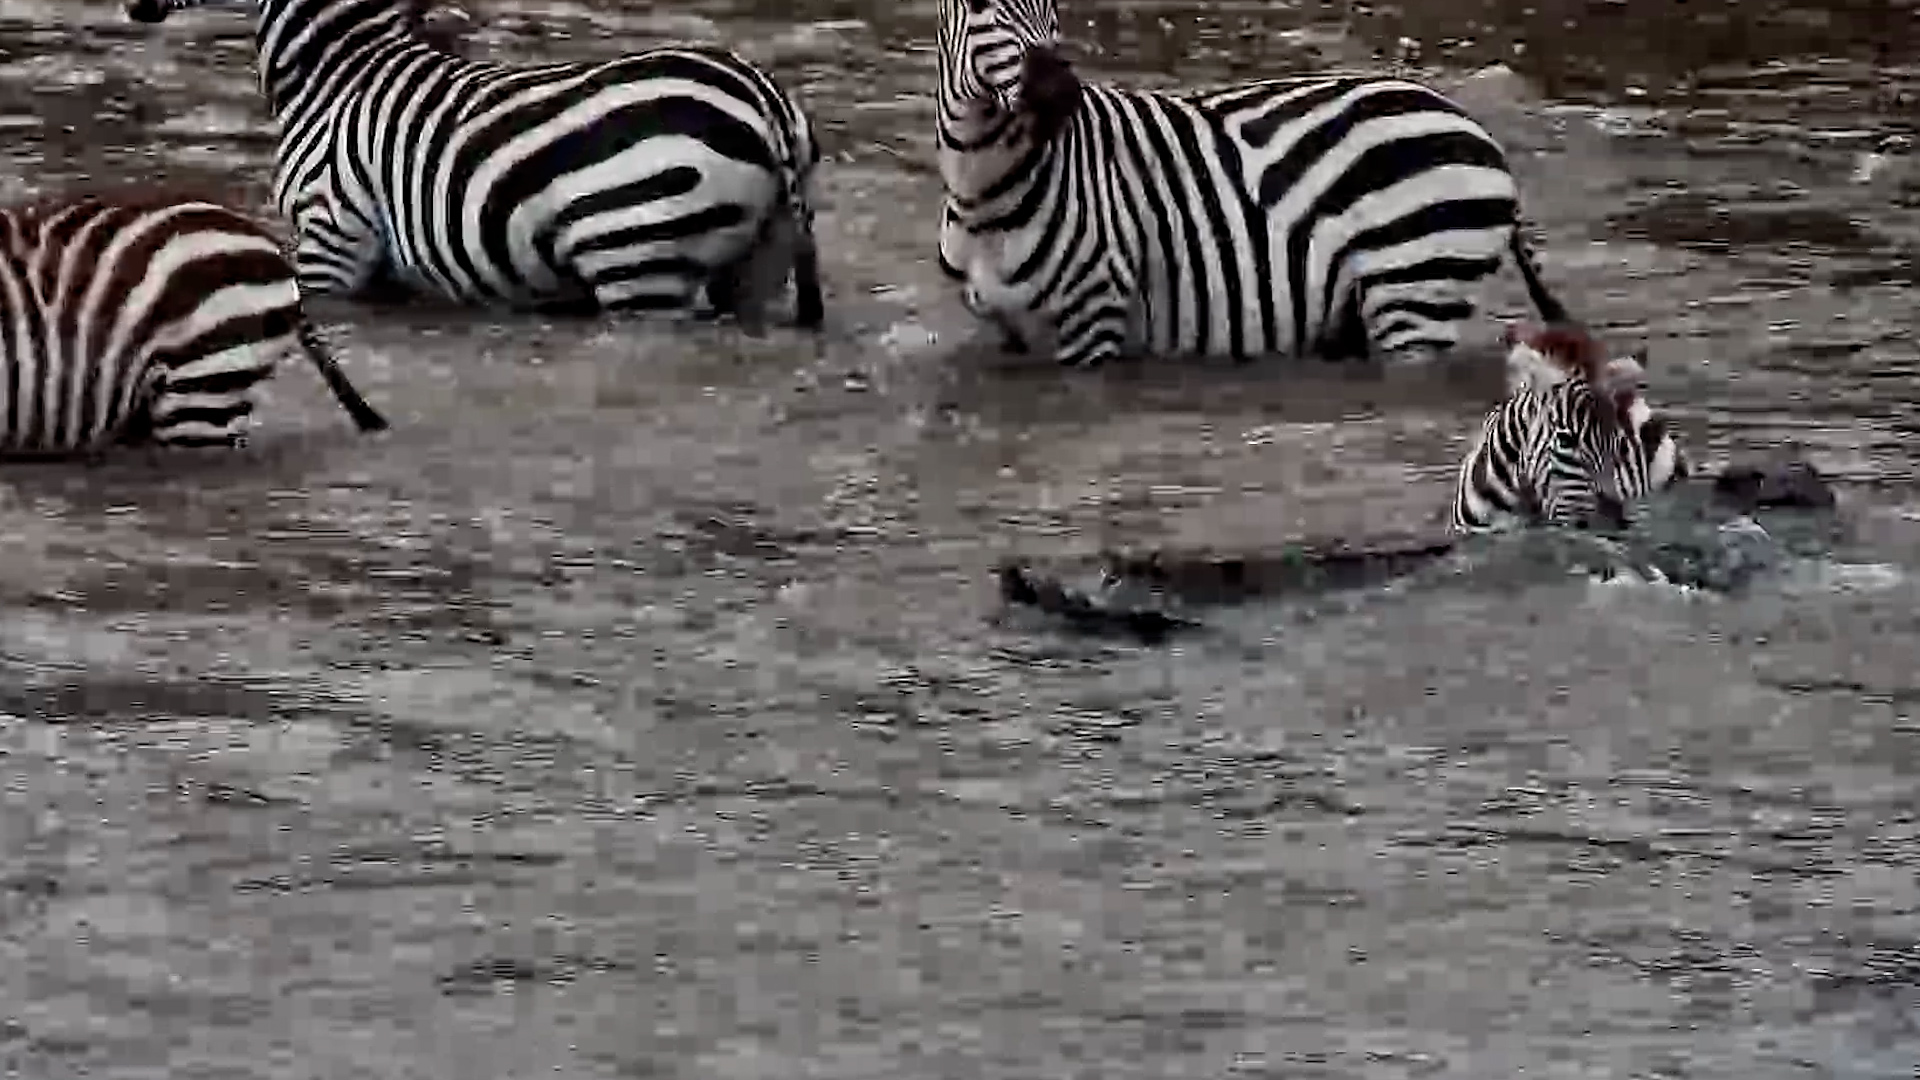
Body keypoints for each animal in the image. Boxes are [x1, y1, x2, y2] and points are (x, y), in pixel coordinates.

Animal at [123, 0, 825, 331]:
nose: (133, 7)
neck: (336, 72)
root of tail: (765, 101)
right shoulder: (383, 267)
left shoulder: (332, 237)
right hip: (756, 266)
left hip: (639, 260)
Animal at [934, 0, 1567, 367]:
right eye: (982, 4)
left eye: (1052, 1)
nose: (1060, 95)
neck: (984, 191)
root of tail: (1468, 122)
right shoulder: (1009, 336)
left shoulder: (1095, 320)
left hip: (1415, 294)